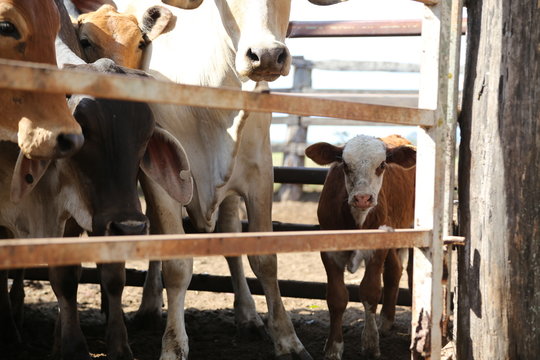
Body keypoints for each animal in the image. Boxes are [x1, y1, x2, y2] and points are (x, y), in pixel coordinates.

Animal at [306, 134, 416, 358]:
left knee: (410, 272)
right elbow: (337, 297)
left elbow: (370, 292)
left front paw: (370, 343)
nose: (363, 198)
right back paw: (386, 321)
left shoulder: (376, 250)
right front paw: (334, 347)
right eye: (345, 165)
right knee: (394, 270)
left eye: (382, 165)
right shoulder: (330, 253)